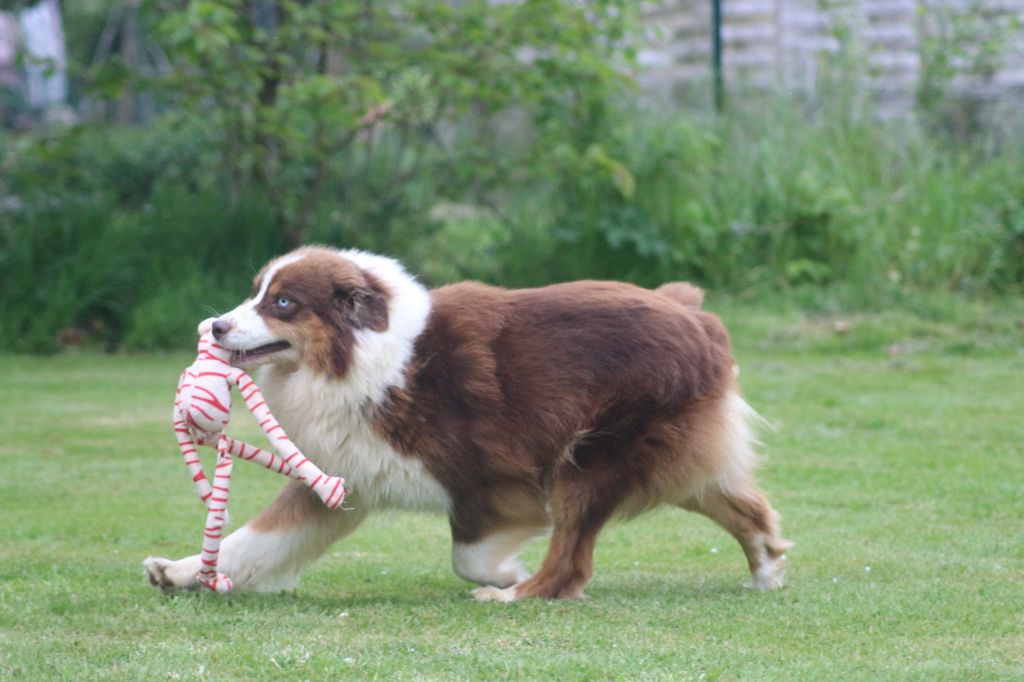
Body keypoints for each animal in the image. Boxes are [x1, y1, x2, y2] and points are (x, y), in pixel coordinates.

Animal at [144, 246, 790, 598]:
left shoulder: (488, 479)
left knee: (572, 558)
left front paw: (506, 574)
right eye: (255, 293)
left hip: (590, 455)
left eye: (283, 303)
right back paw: (767, 569)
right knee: (740, 504)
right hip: (672, 453)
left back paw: (522, 594)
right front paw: (181, 571)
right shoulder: (340, 477)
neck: (371, 357)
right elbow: (252, 541)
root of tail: (694, 314)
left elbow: (469, 557)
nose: (215, 326)